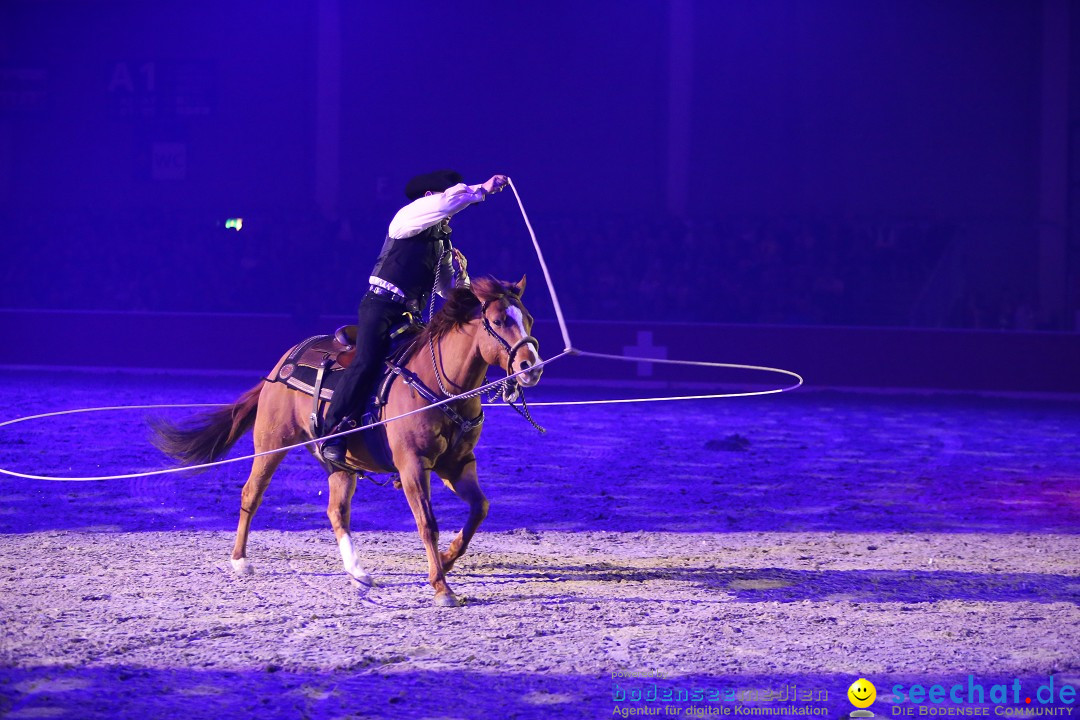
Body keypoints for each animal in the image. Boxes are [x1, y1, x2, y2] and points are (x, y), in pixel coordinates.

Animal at [152, 276, 540, 608]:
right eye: (499, 321)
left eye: (529, 319)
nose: (531, 366)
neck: (440, 386)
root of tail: (284, 361)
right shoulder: (413, 465)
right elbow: (427, 523)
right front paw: (442, 587)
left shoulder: (457, 464)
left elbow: (479, 508)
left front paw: (444, 560)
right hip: (271, 443)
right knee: (252, 493)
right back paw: (241, 561)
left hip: (339, 464)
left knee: (337, 510)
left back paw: (358, 573)